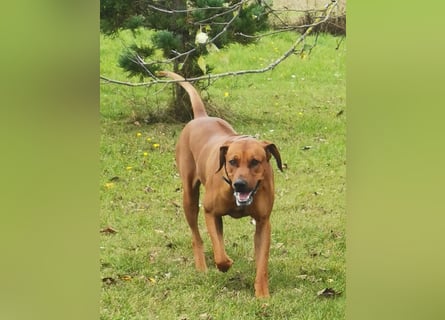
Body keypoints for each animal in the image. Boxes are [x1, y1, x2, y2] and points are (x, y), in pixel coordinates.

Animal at [158, 70, 280, 298]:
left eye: (255, 162)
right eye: (232, 161)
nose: (240, 184)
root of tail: (201, 117)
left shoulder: (263, 222)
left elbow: (262, 262)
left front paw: (262, 294)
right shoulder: (210, 212)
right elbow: (220, 253)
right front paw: (225, 264)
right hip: (189, 197)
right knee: (197, 236)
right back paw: (202, 266)